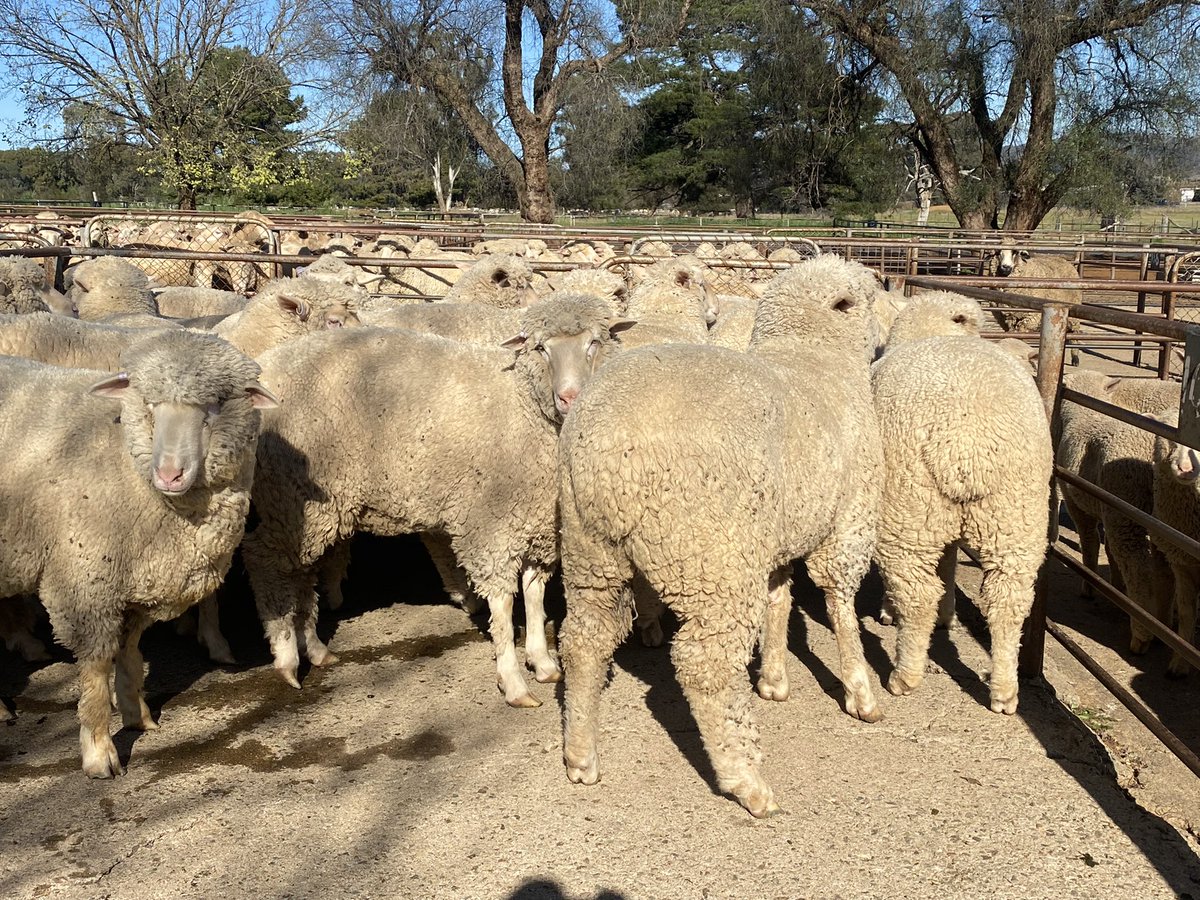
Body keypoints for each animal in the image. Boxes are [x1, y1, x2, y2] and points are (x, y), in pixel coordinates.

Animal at [0, 330, 277, 776]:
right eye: (148, 403)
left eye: (214, 406)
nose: (170, 474)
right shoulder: (86, 585)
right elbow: (97, 670)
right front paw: (99, 752)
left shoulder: (133, 584)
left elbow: (129, 653)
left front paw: (137, 715)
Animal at [242, 295, 635, 705]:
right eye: (541, 348)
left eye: (594, 342)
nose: (569, 397)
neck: (522, 403)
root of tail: (264, 369)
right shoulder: (490, 521)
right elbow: (504, 603)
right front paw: (512, 680)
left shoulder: (534, 514)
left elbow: (534, 593)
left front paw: (542, 661)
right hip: (292, 494)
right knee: (264, 560)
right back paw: (287, 656)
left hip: (310, 507)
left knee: (301, 572)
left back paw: (315, 649)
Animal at [557, 255, 887, 818]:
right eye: (866, 296)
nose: (885, 337)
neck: (815, 358)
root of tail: (607, 444)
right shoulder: (848, 519)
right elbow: (839, 604)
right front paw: (860, 691)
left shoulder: (776, 532)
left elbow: (779, 598)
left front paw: (773, 678)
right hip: (712, 557)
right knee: (703, 666)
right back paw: (745, 780)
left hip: (591, 551)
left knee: (583, 641)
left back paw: (581, 756)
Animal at [871, 316, 1053, 715]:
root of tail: (966, 439)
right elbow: (950, 560)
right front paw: (948, 614)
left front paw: (889, 611)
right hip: (1016, 516)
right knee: (1007, 602)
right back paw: (1005, 691)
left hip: (906, 510)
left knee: (917, 594)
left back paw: (904, 676)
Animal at [1058, 372, 1180, 656]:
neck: (1085, 412)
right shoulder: (1107, 509)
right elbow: (1109, 553)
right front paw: (1115, 585)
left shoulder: (1074, 499)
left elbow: (1090, 543)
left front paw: (1089, 585)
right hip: (1159, 518)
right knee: (1164, 572)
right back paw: (1162, 625)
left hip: (1127, 508)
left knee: (1138, 568)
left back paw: (1141, 636)